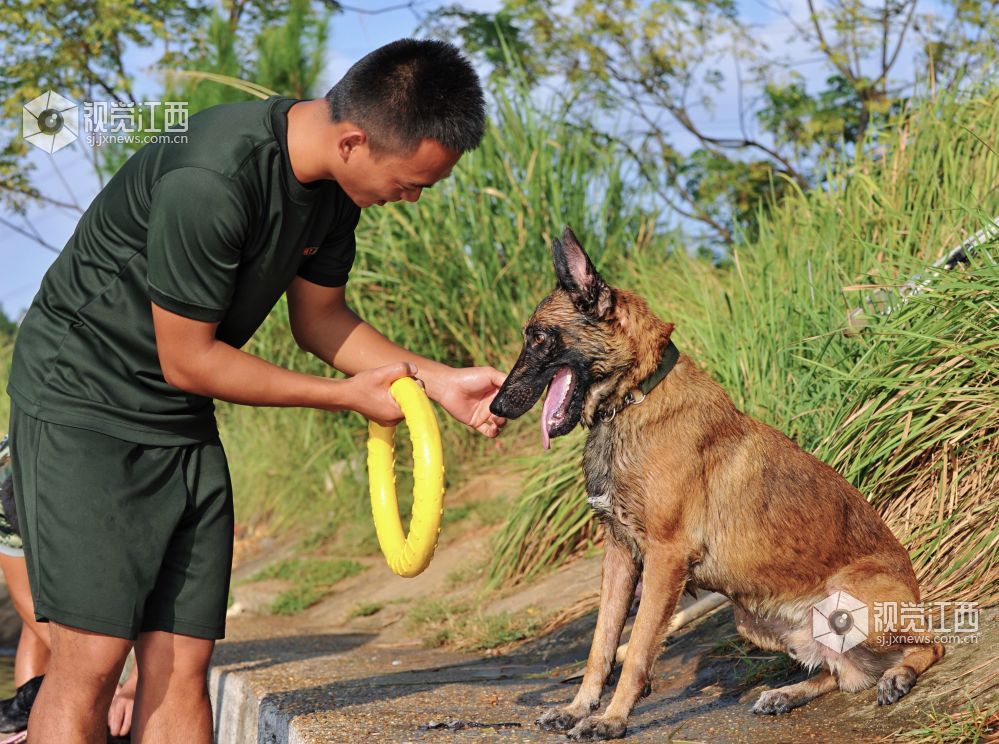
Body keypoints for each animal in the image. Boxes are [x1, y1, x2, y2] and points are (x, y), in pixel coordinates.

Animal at [492, 227, 944, 740]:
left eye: (539, 338)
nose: (496, 407)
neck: (635, 397)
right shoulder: (620, 555)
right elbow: (601, 644)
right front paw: (577, 708)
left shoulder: (664, 558)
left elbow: (637, 651)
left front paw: (612, 719)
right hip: (753, 619)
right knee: (839, 672)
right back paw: (787, 693)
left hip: (854, 606)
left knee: (930, 644)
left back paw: (899, 676)